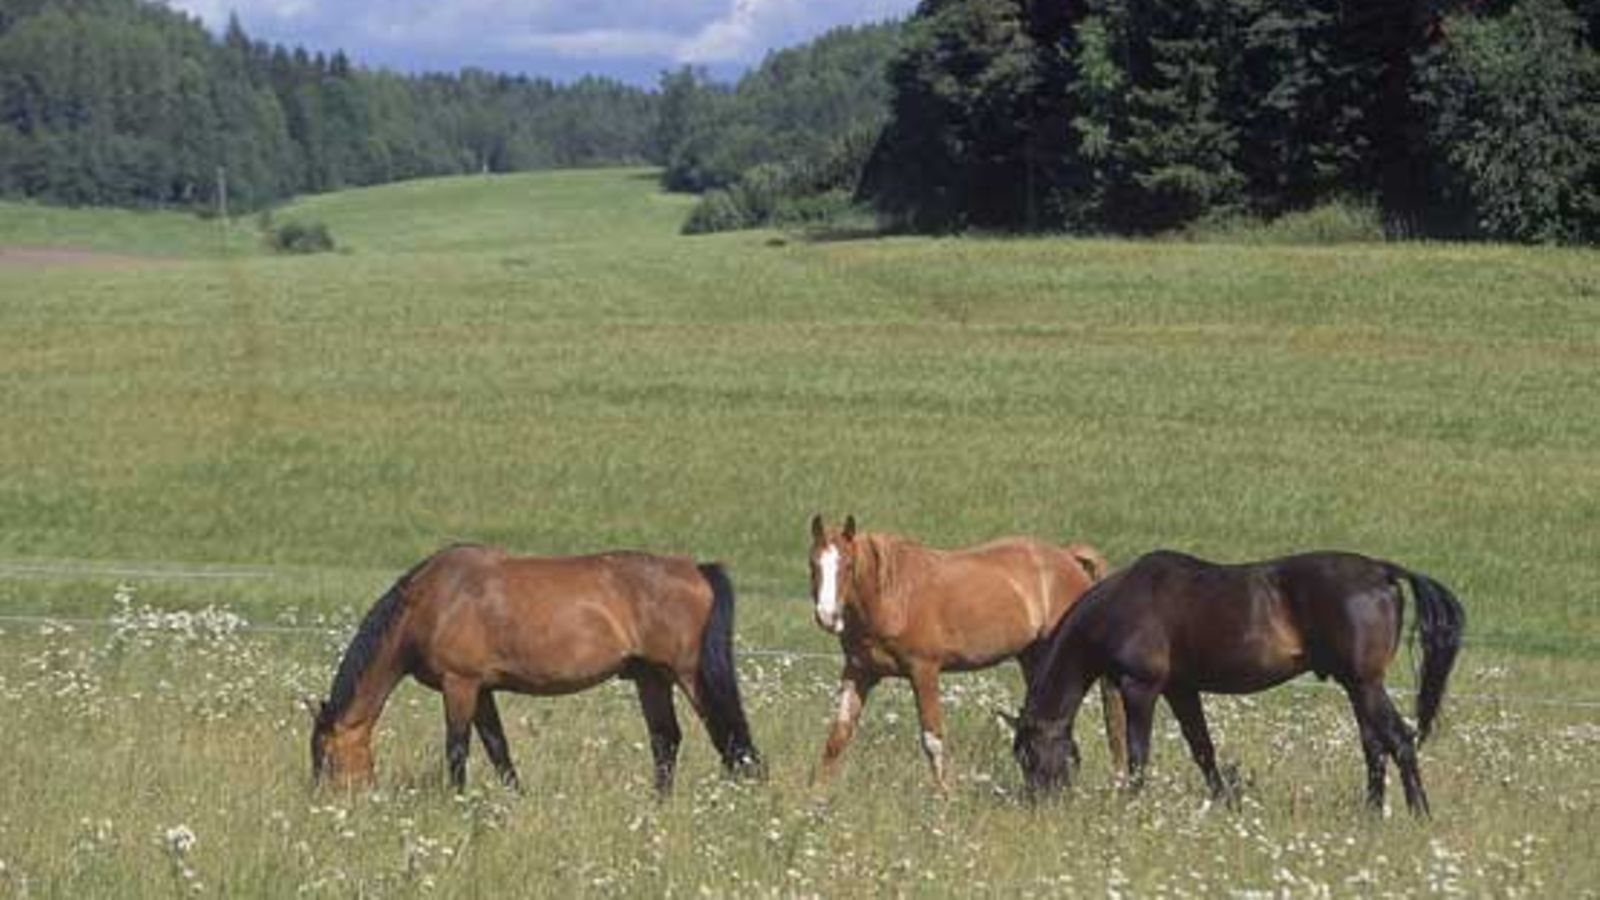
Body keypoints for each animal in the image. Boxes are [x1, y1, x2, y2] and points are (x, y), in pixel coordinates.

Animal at [313, 544, 768, 787]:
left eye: (325, 758)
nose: (325, 808)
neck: (432, 600)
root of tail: (697, 569)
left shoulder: (459, 684)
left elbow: (457, 749)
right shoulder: (481, 689)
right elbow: (498, 749)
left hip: (691, 675)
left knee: (728, 739)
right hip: (651, 678)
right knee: (666, 741)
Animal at [806, 515, 1132, 787]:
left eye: (848, 566)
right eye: (813, 565)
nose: (827, 616)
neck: (893, 597)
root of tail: (1068, 556)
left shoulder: (924, 672)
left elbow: (932, 740)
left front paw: (945, 800)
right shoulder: (859, 672)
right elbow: (837, 738)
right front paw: (816, 801)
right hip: (1035, 659)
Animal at [1011, 547, 1465, 813]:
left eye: (1029, 757)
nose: (1040, 808)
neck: (1124, 604)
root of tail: (1383, 571)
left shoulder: (1141, 688)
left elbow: (1139, 753)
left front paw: (1132, 806)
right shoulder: (1181, 689)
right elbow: (1203, 750)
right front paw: (1225, 803)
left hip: (1365, 684)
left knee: (1399, 740)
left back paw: (1418, 814)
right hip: (1357, 687)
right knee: (1374, 746)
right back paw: (1372, 813)